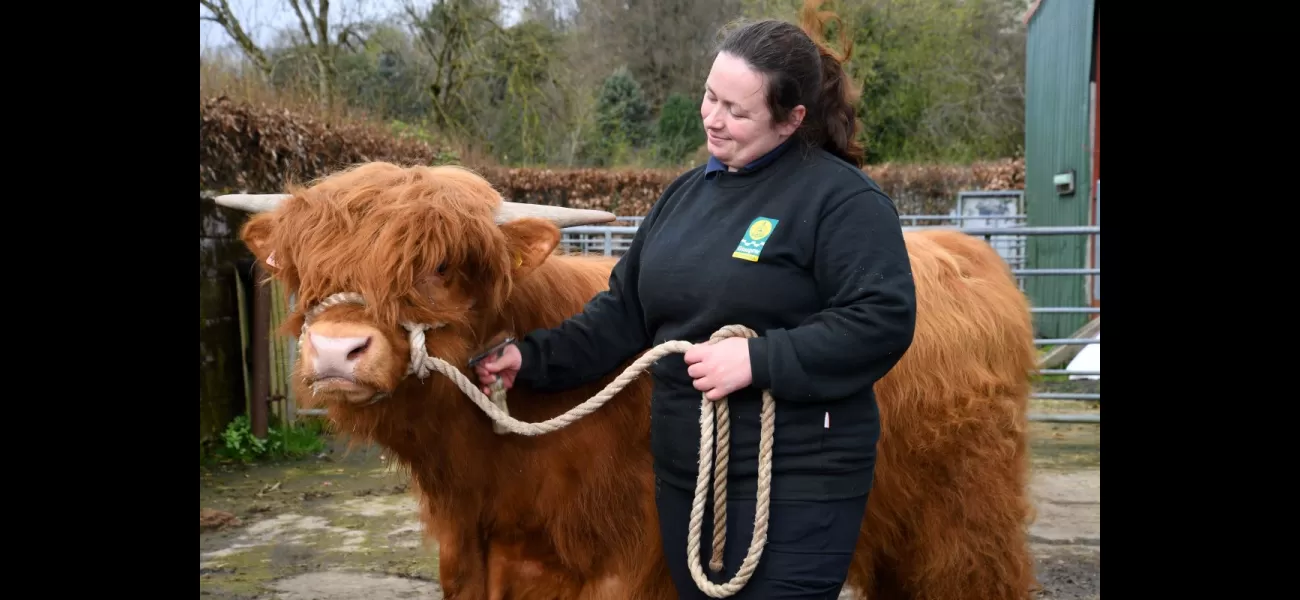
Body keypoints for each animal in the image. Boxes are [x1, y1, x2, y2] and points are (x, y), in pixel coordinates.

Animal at [220, 160, 1034, 600]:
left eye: (440, 265)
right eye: (303, 271)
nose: (336, 351)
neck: (495, 481)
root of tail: (966, 251)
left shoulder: (632, 570)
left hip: (964, 524)